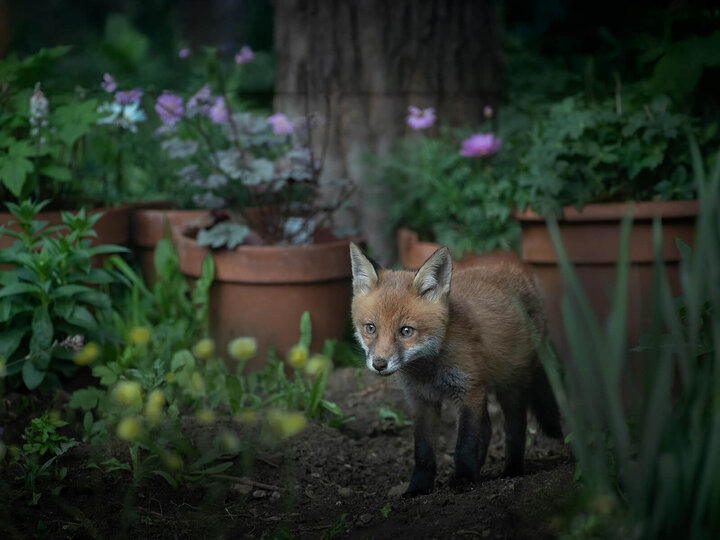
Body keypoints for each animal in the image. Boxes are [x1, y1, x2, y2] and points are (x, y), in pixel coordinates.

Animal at [348, 243, 564, 496]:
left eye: (406, 331)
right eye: (370, 328)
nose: (379, 364)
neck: (429, 370)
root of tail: (517, 272)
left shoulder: (468, 390)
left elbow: (465, 443)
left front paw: (463, 479)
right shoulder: (423, 400)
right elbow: (423, 451)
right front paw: (418, 488)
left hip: (511, 384)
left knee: (515, 429)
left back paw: (512, 470)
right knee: (487, 428)